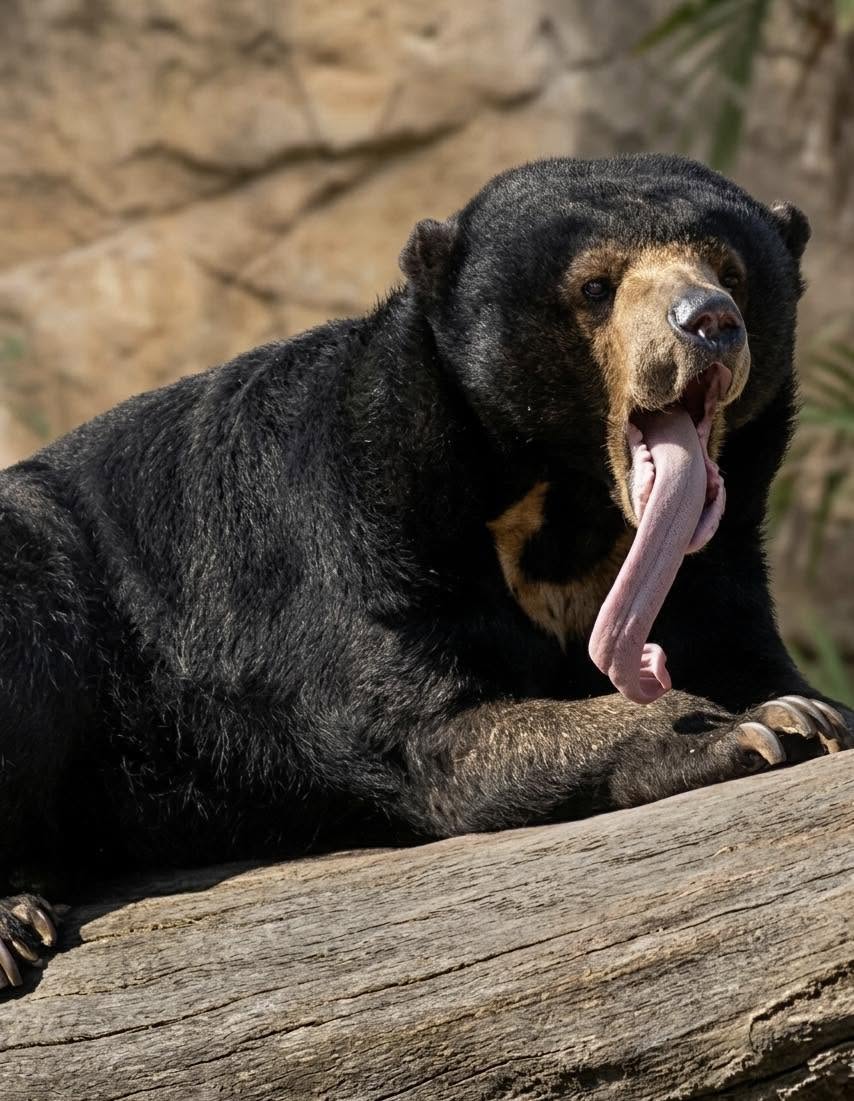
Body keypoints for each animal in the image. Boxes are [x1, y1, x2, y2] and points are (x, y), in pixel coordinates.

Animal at [1, 154, 851, 989]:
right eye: (596, 287)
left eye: (731, 272)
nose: (709, 321)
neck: (566, 505)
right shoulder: (361, 525)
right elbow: (431, 731)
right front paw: (749, 725)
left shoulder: (719, 558)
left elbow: (735, 639)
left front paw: (810, 709)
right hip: (39, 571)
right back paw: (14, 922)